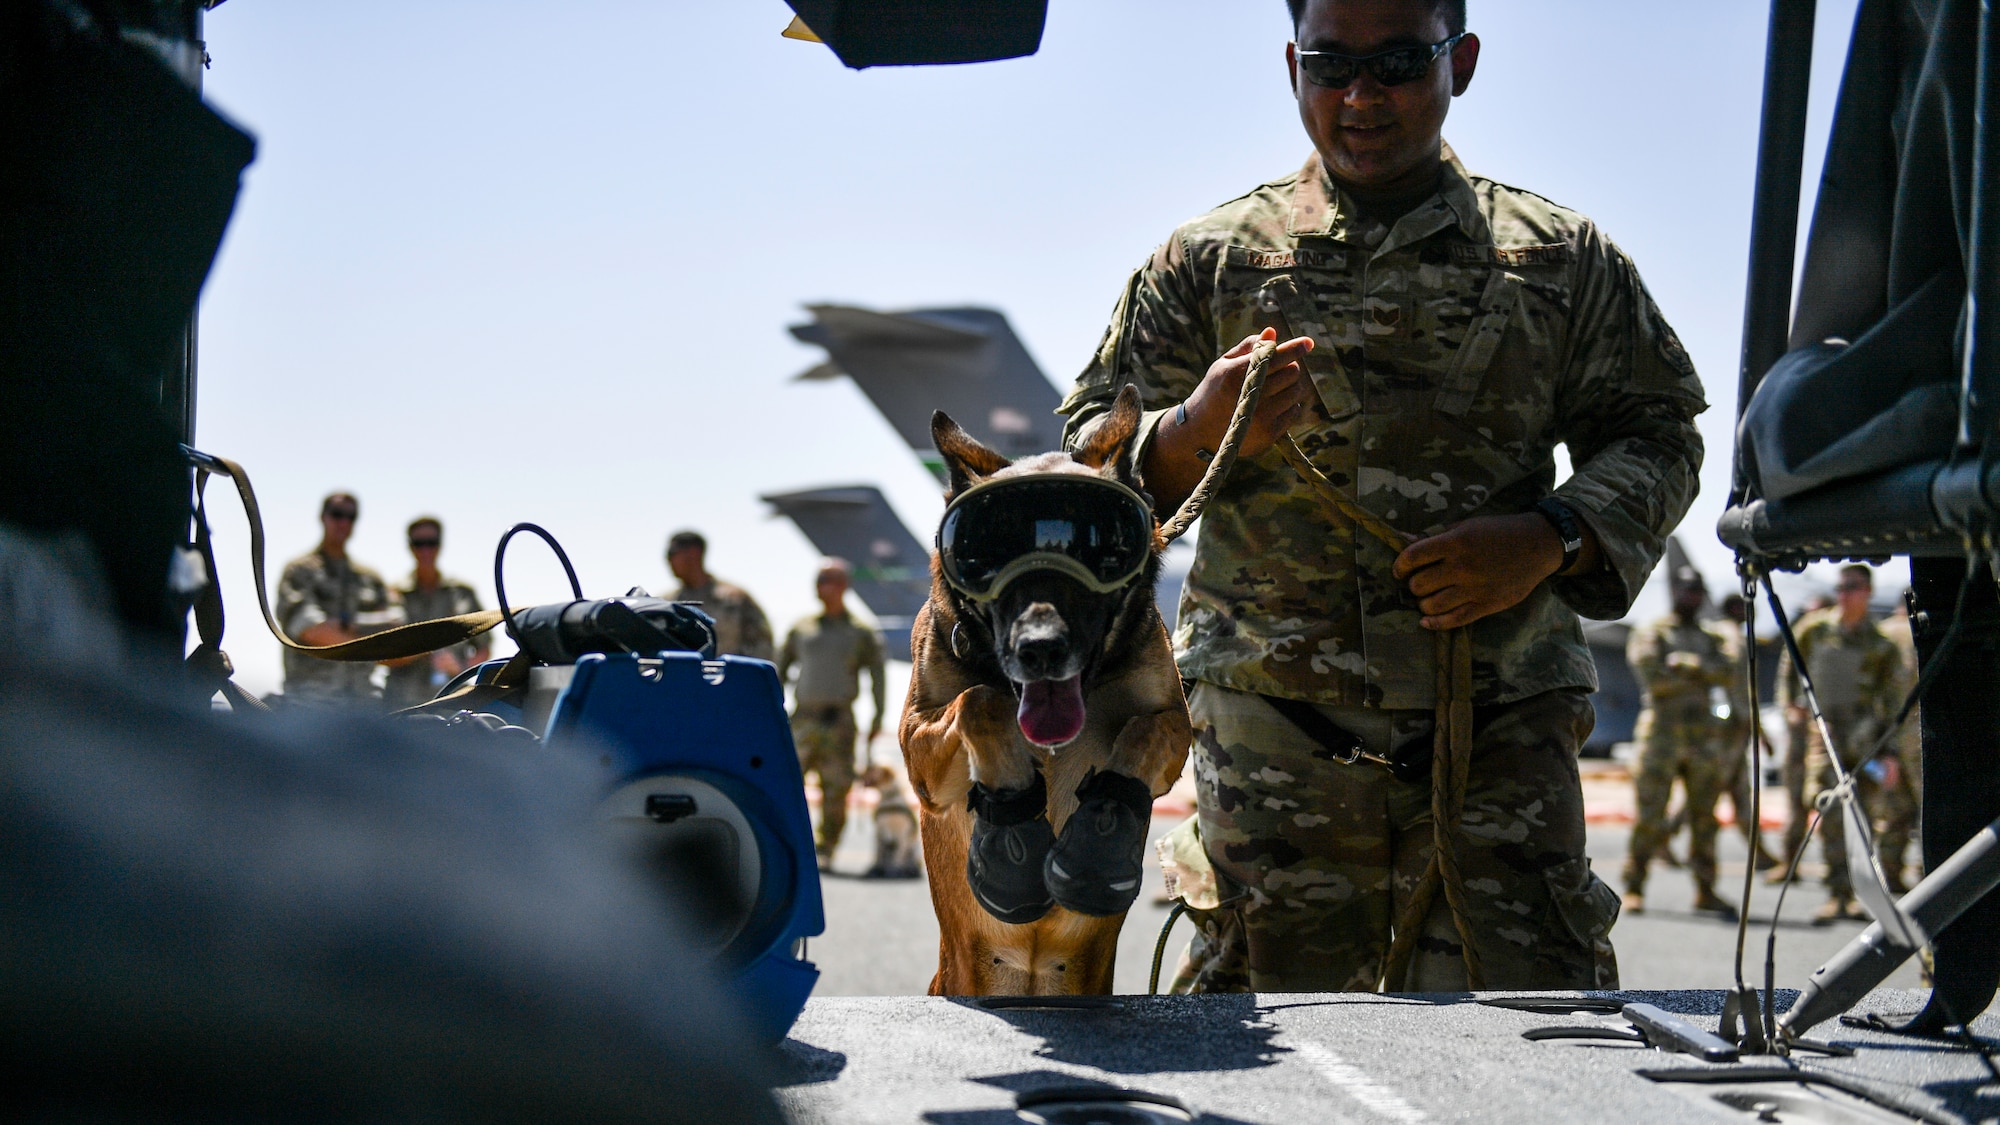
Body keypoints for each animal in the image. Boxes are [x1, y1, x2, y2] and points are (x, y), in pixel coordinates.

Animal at [904, 382, 1184, 988]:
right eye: (983, 551)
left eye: (1101, 546)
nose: (1040, 649)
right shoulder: (919, 757)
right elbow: (981, 699)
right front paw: (1010, 815)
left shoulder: (1176, 723)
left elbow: (1143, 734)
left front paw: (1098, 844)